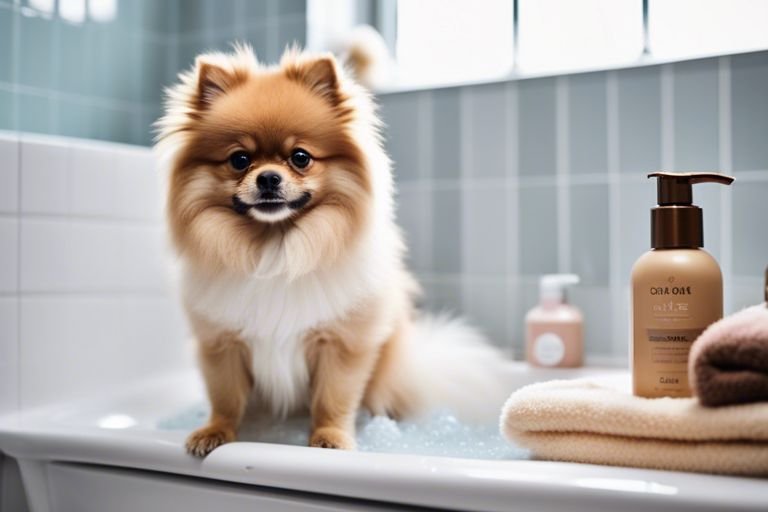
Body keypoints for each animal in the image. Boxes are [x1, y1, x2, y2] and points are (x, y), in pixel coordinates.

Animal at [156, 45, 504, 456]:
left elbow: (333, 398)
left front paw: (330, 438)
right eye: (240, 160)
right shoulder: (222, 344)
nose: (268, 177)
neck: (275, 248)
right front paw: (215, 431)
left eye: (300, 157)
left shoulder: (340, 344)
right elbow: (224, 397)